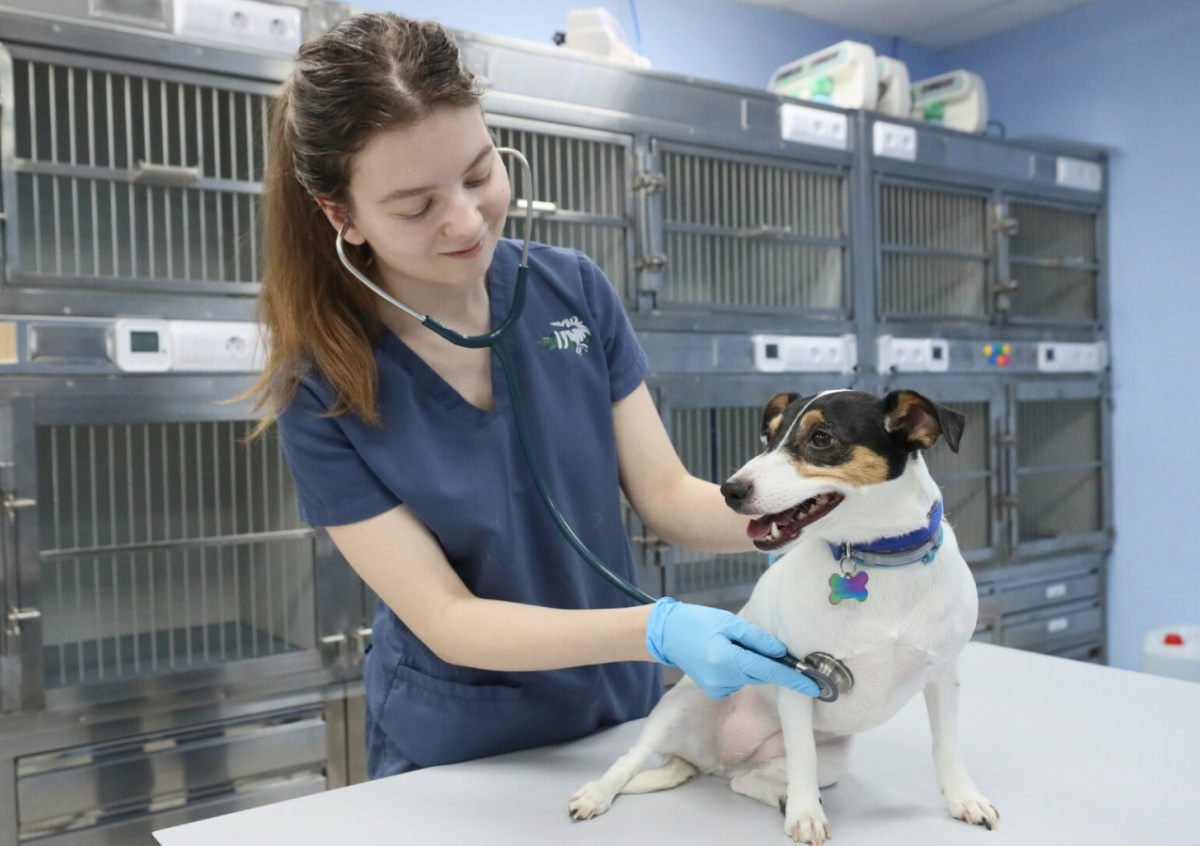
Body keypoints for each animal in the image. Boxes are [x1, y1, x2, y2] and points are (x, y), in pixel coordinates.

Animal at [569, 389, 999, 843]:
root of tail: (716, 761)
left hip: (834, 758)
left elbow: (946, 746)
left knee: (747, 781)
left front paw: (964, 798)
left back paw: (777, 795)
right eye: (768, 437)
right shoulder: (798, 682)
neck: (877, 558)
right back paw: (598, 793)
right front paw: (806, 815)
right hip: (679, 705)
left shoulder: (945, 676)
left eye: (822, 438)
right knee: (633, 757)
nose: (729, 490)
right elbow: (802, 756)